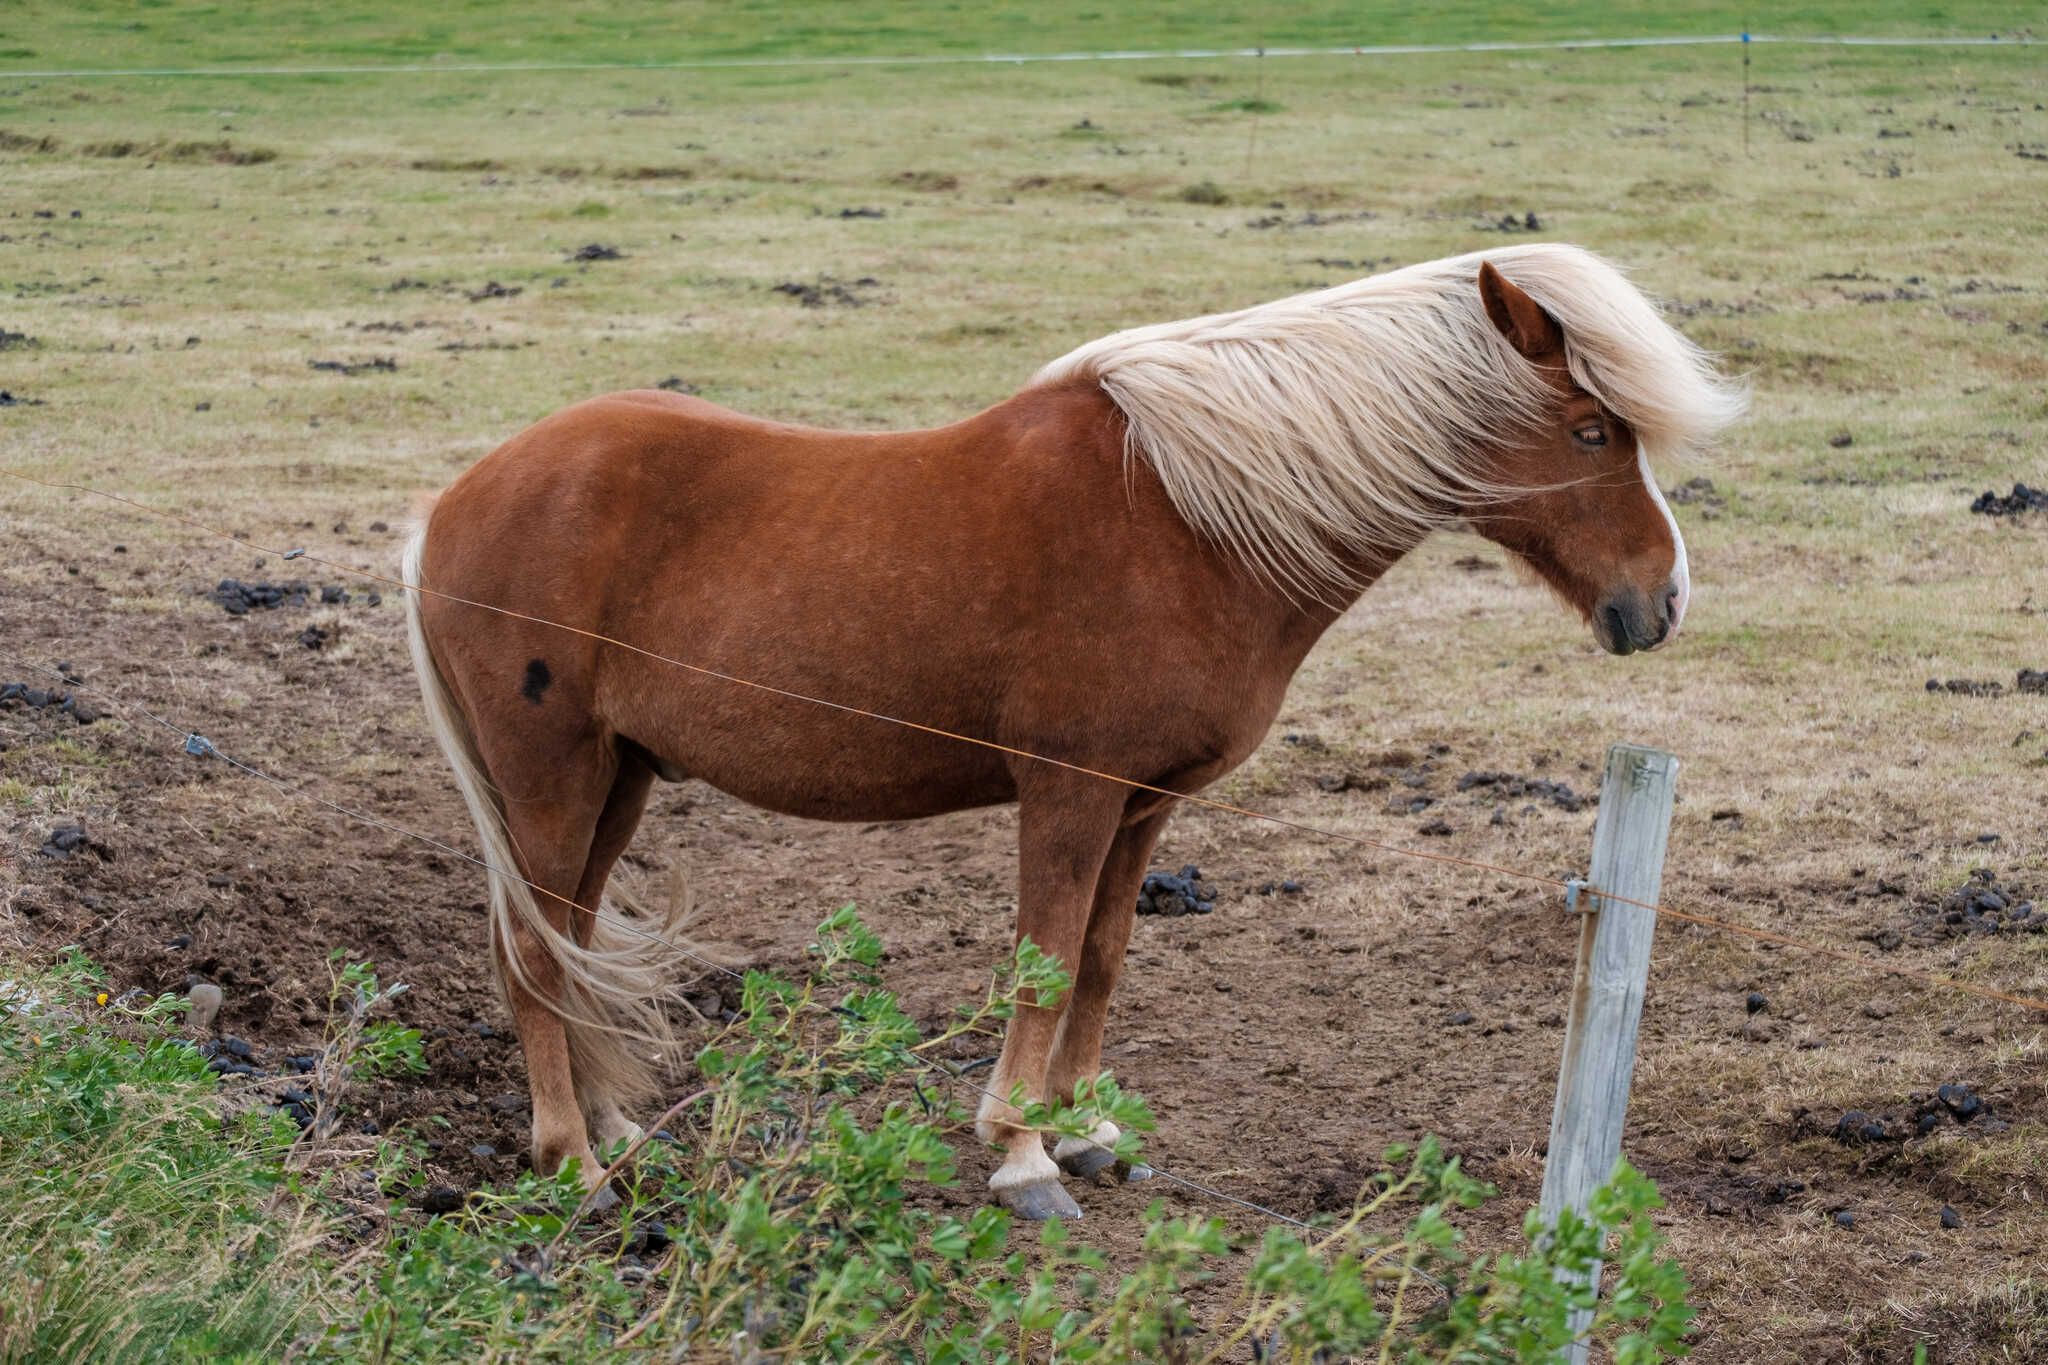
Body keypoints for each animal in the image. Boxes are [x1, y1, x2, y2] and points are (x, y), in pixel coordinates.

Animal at [403, 242, 1744, 1219]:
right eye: (1589, 431)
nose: (1662, 601)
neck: (1186, 519)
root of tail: (456, 500)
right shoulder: (1069, 790)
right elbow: (1042, 961)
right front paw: (1018, 1154)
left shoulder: (1145, 803)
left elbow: (1098, 958)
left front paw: (1084, 1128)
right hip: (551, 782)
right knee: (531, 955)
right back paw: (572, 1163)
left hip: (617, 781)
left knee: (571, 944)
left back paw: (618, 1134)